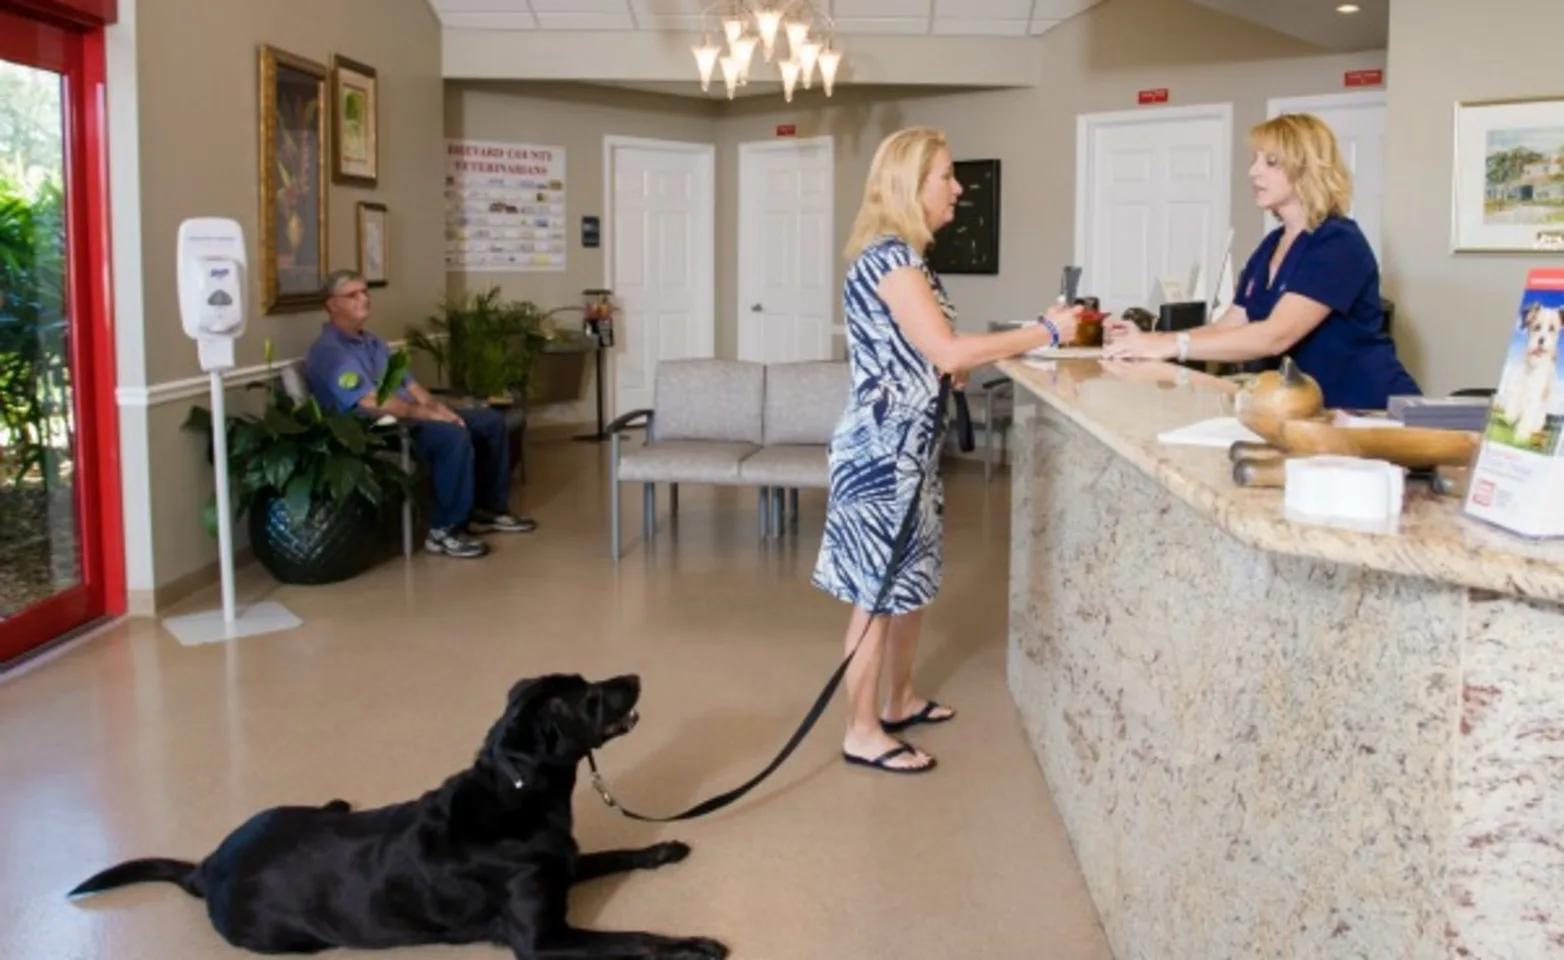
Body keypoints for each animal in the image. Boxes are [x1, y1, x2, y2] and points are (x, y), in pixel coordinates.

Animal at [68, 678, 731, 960]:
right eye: (588, 696)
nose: (634, 677)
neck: (518, 792)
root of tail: (205, 868)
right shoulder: (540, 941)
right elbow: (636, 938)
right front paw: (692, 944)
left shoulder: (563, 865)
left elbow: (616, 853)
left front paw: (662, 850)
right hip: (287, 942)